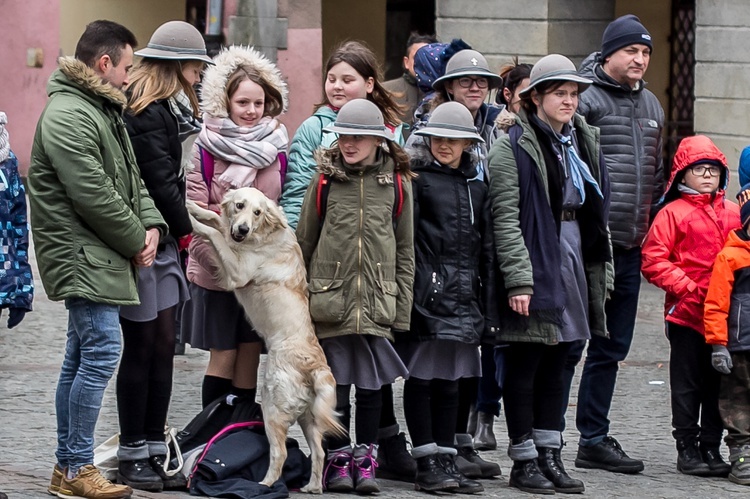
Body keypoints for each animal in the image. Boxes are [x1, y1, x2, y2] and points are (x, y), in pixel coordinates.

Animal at [188, 188, 344, 492]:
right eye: (240, 206)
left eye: (258, 212)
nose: (243, 229)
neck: (264, 235)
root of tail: (316, 367)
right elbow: (216, 219)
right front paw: (193, 207)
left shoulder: (238, 269)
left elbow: (214, 233)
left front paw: (191, 221)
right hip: (310, 418)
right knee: (319, 452)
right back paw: (312, 487)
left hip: (272, 408)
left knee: (280, 452)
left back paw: (266, 484)